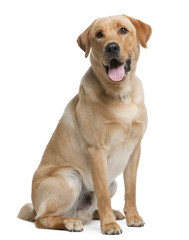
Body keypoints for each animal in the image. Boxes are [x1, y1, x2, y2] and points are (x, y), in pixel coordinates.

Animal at [18, 13, 152, 234]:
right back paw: (70, 222)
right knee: (42, 219)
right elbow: (103, 194)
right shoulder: (97, 151)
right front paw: (109, 225)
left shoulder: (135, 150)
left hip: (111, 183)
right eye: (99, 35)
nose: (111, 47)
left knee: (88, 210)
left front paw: (133, 216)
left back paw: (107, 213)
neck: (120, 96)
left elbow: (131, 190)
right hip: (69, 177)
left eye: (123, 30)